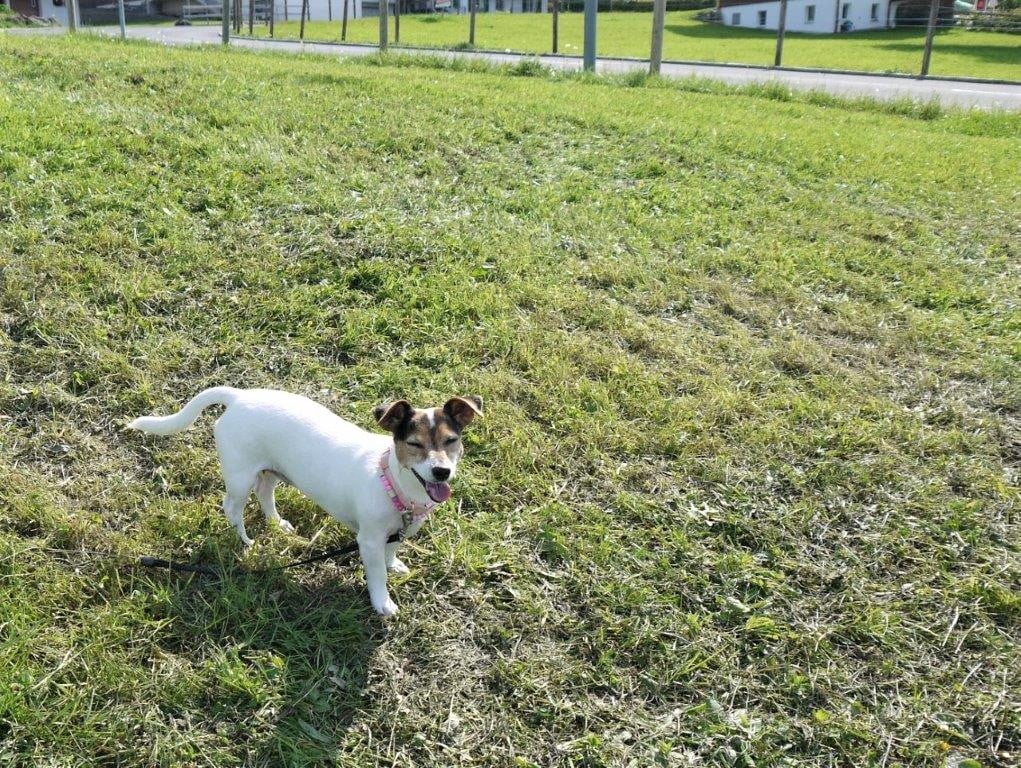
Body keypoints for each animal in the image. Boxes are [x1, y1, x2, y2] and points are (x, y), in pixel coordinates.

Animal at [127, 387, 482, 616]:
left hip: (271, 469)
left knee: (265, 492)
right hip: (240, 476)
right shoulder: (368, 540)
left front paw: (394, 564)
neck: (391, 480)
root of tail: (238, 396)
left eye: (451, 441)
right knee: (232, 507)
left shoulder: (399, 530)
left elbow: (391, 552)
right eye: (414, 444)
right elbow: (377, 574)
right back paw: (246, 541)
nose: (441, 471)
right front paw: (382, 602)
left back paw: (277, 524)